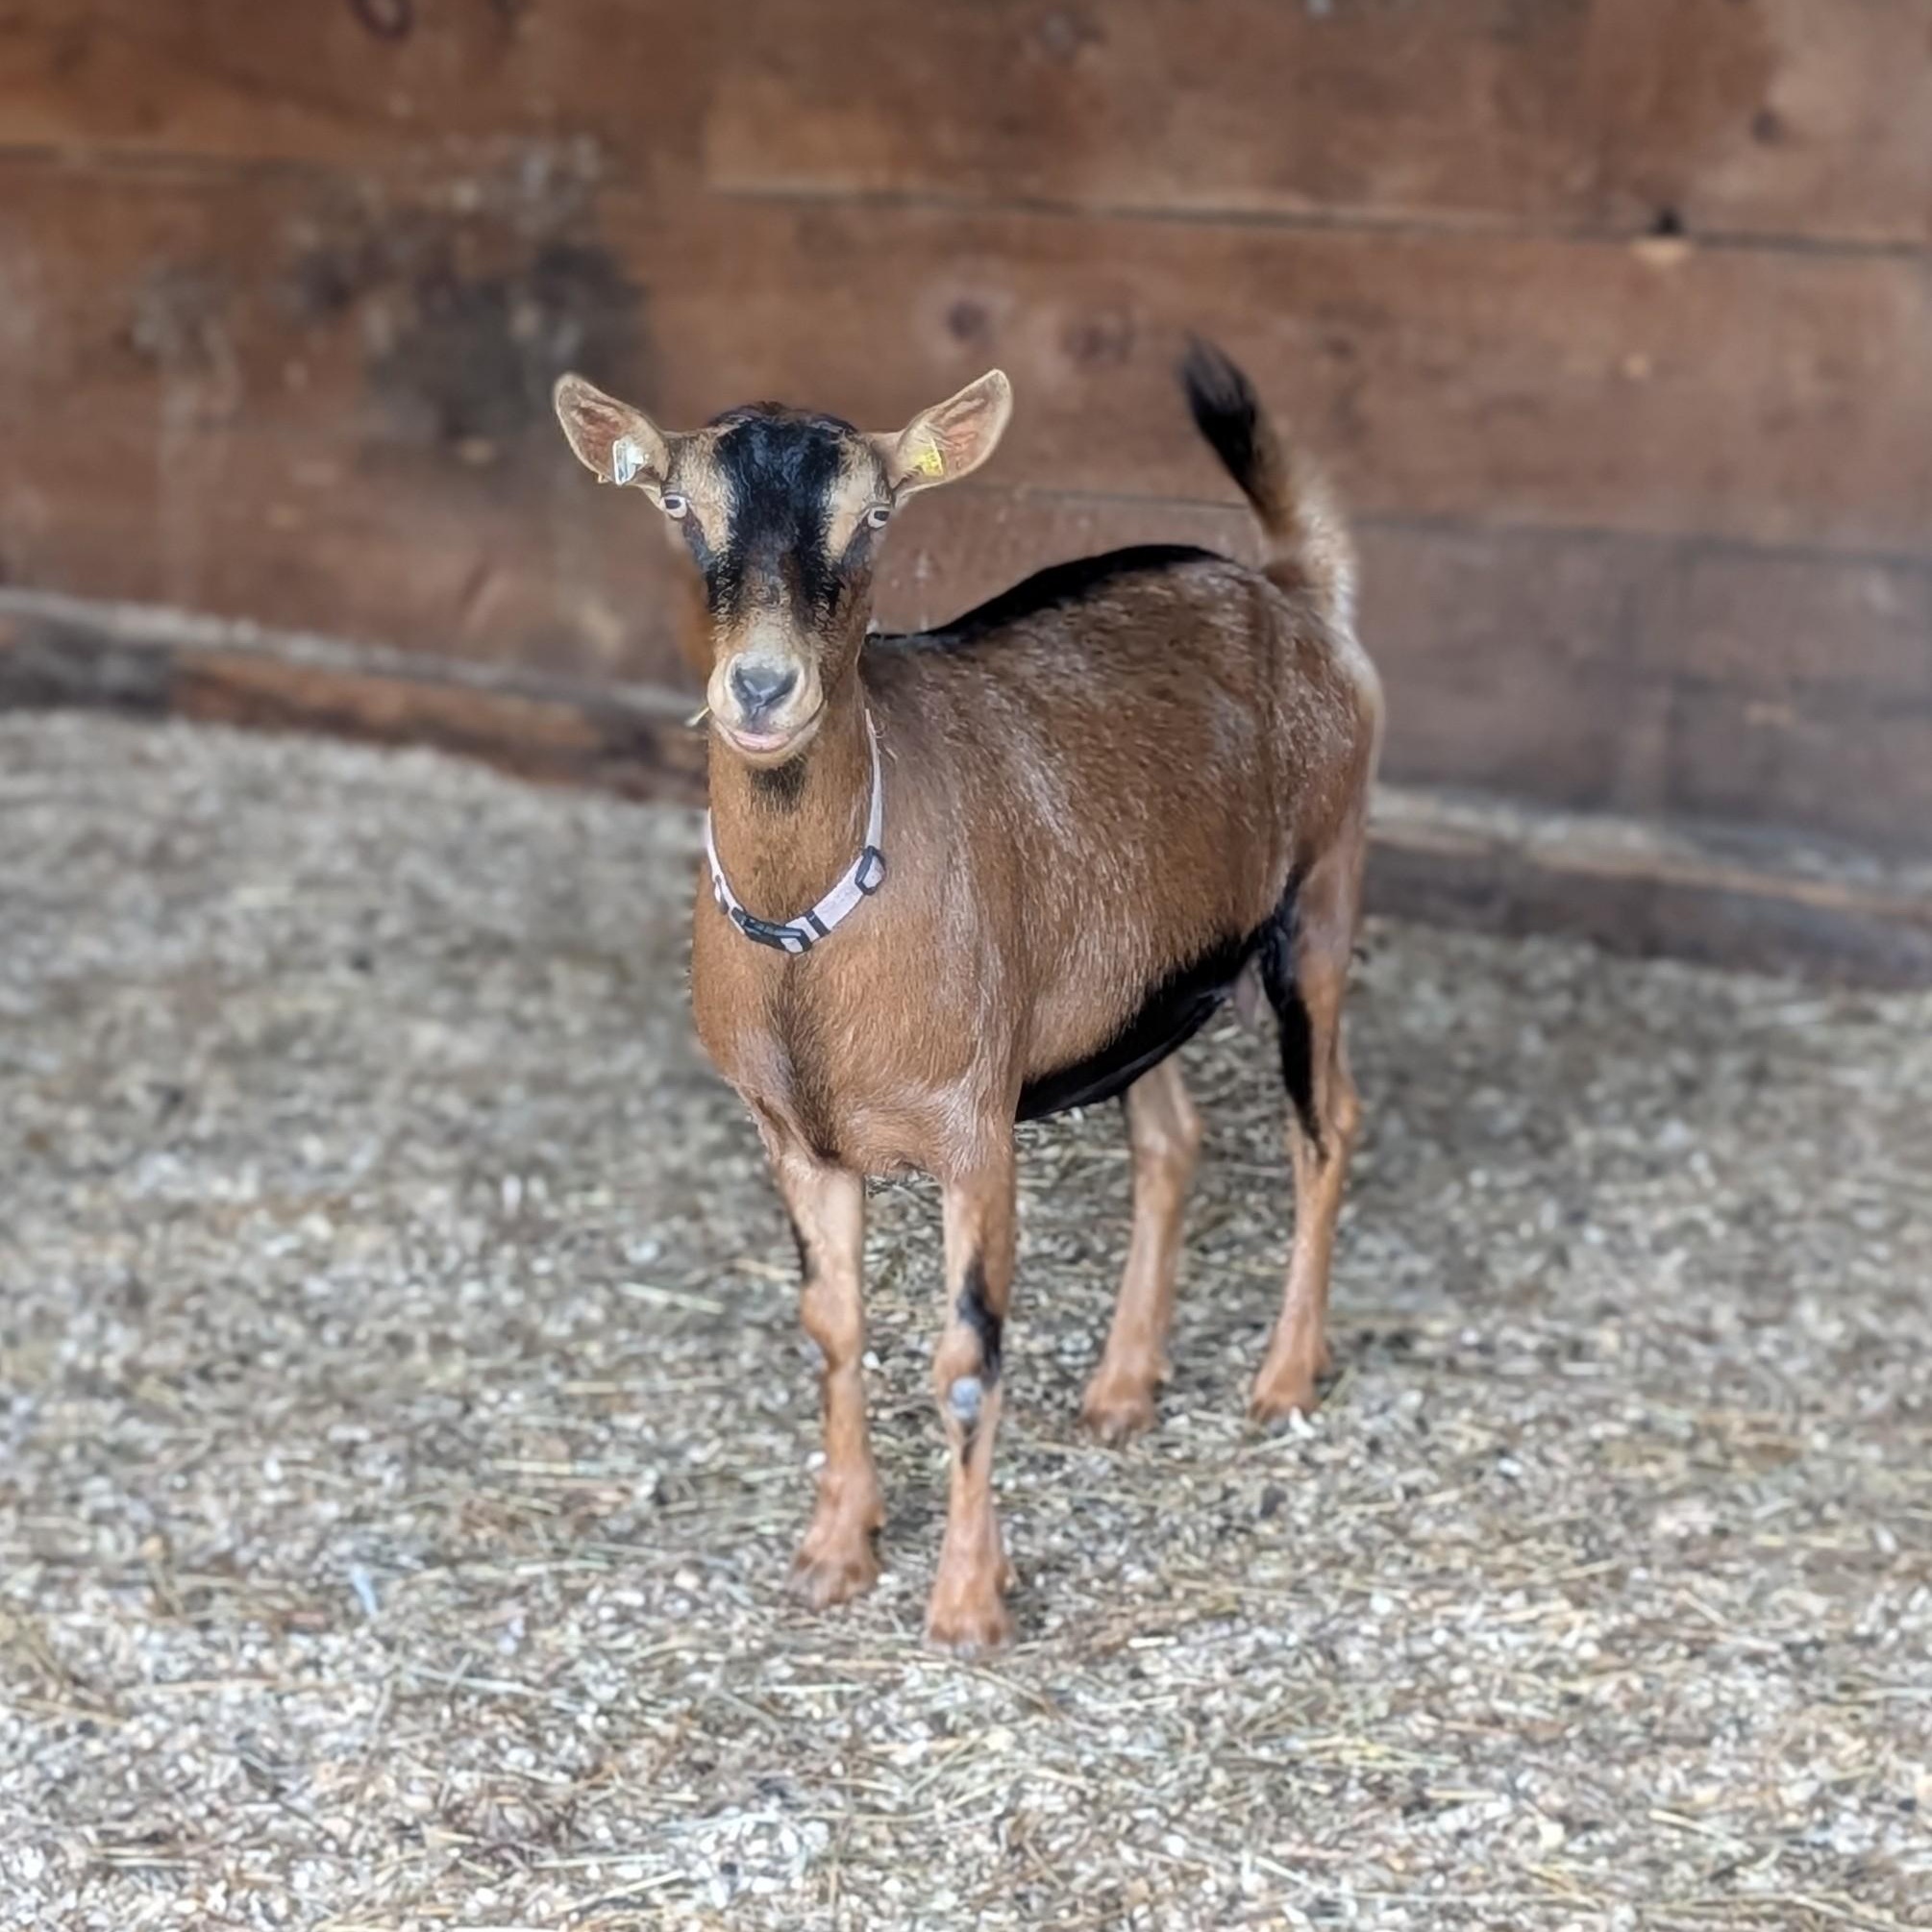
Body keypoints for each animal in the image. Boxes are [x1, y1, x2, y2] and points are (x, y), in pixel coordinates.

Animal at [554, 342, 1382, 1651]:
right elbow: (833, 1327)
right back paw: (1121, 1389)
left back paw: (1285, 1378)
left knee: (1326, 1123)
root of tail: (1293, 590)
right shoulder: (792, 1139)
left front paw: (967, 1603)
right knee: (1174, 1139)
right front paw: (835, 1552)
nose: (764, 690)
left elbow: (964, 1352)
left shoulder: (974, 1128)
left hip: (1322, 899)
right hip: (1138, 991)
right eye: (679, 505)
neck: (815, 943)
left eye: (878, 513)